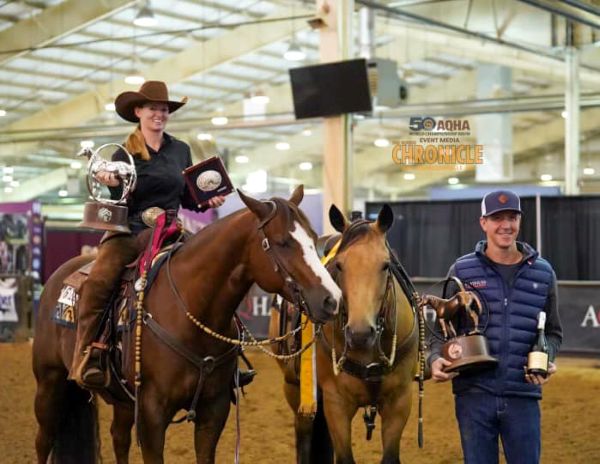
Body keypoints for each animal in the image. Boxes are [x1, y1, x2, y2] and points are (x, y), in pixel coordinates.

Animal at [32, 185, 342, 464]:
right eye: (281, 242)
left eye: (314, 238)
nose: (332, 299)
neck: (190, 310)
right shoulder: (151, 415)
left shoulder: (213, 410)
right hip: (50, 382)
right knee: (43, 440)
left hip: (122, 399)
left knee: (118, 438)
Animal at [269, 204, 419, 464]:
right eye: (339, 265)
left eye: (385, 265)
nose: (360, 333)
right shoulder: (336, 402)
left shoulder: (400, 401)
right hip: (294, 387)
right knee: (304, 433)